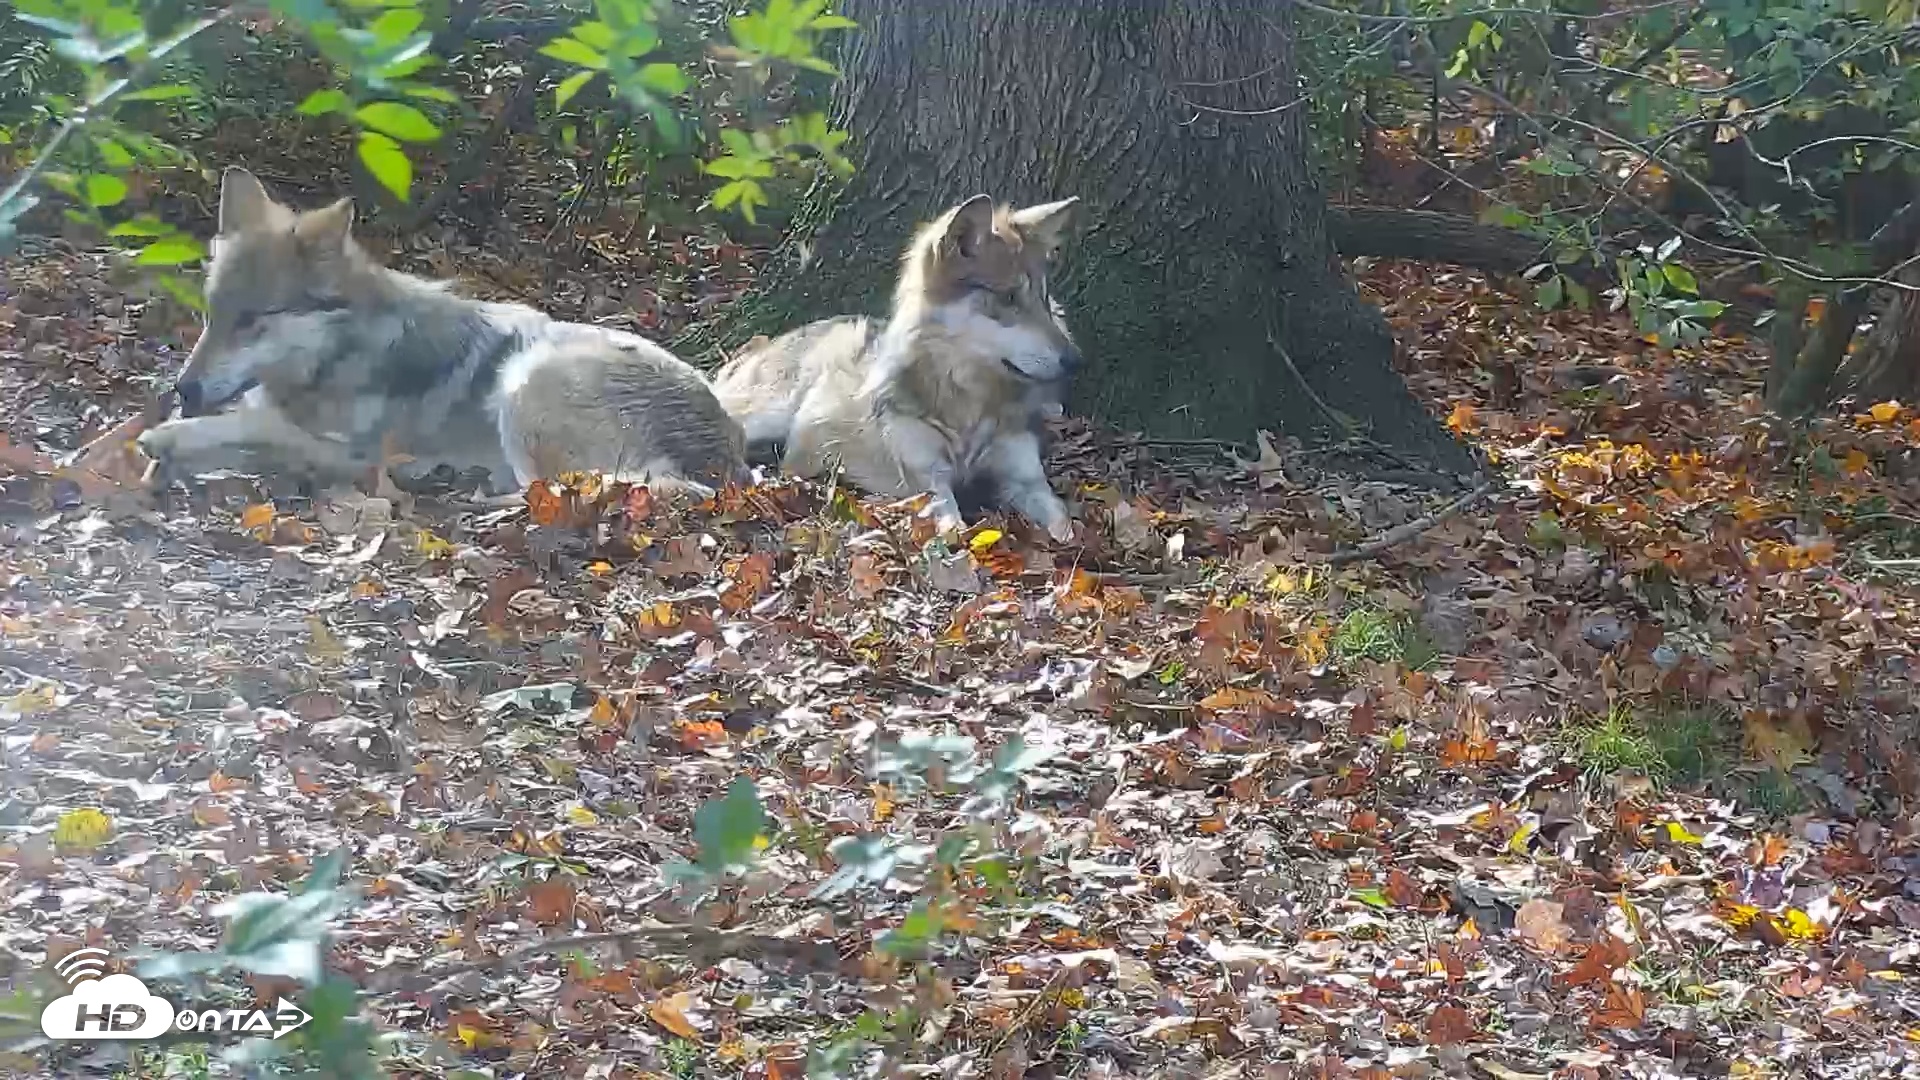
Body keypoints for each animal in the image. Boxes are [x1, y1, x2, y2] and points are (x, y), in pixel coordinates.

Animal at [135, 167, 746, 498]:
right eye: (212, 314)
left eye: (251, 321)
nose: (182, 389)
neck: (342, 356)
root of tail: (730, 445)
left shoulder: (360, 457)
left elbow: (255, 428)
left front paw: (169, 440)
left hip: (524, 380)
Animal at [711, 193, 1082, 540]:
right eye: (1008, 298)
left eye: (1044, 299)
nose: (1076, 360)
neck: (968, 405)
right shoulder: (928, 483)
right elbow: (955, 529)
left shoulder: (1024, 477)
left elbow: (1065, 523)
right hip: (762, 417)